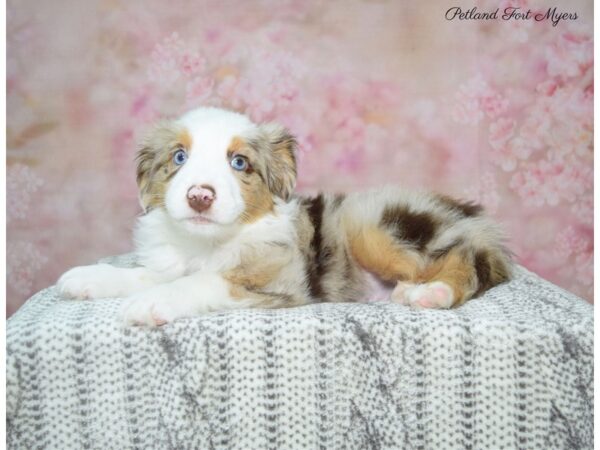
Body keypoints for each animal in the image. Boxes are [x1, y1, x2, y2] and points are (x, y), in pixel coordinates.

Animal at [57, 107, 510, 326]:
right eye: (179, 157)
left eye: (239, 162)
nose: (200, 196)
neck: (208, 242)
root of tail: (474, 219)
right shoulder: (172, 261)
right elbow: (144, 274)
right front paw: (88, 278)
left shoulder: (277, 278)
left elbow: (200, 282)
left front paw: (151, 303)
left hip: (373, 223)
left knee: (466, 260)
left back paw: (432, 293)